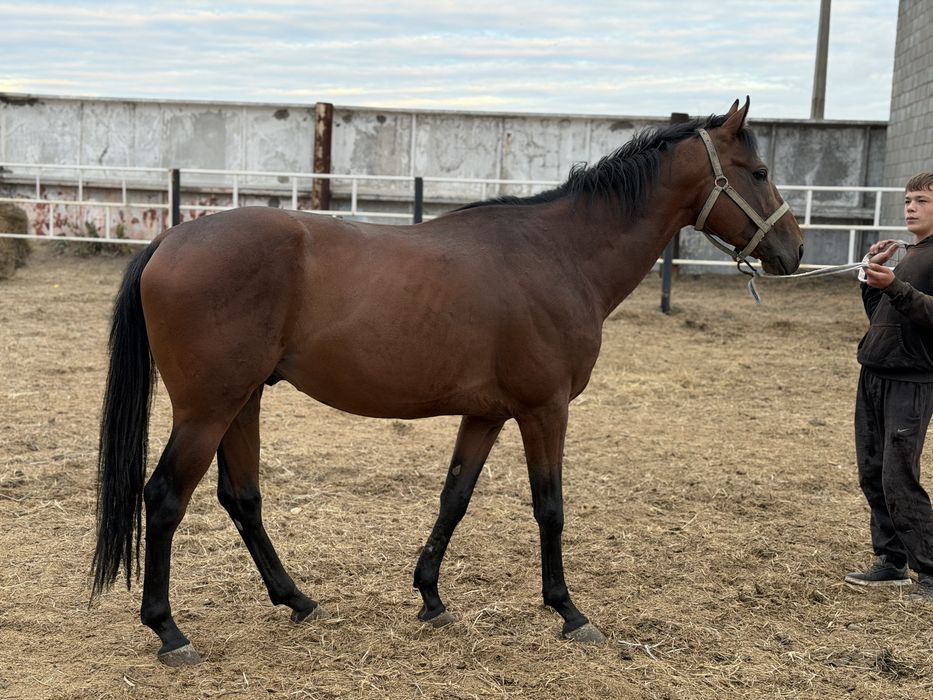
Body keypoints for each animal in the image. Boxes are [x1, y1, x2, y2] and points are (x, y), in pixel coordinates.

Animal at [91, 98, 804, 666]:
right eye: (760, 173)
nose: (792, 252)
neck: (560, 254)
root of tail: (170, 241)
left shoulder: (486, 414)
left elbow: (454, 498)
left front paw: (431, 596)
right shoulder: (544, 410)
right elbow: (550, 507)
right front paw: (568, 611)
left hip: (241, 404)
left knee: (242, 499)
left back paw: (298, 600)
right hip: (207, 410)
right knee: (164, 499)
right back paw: (170, 631)